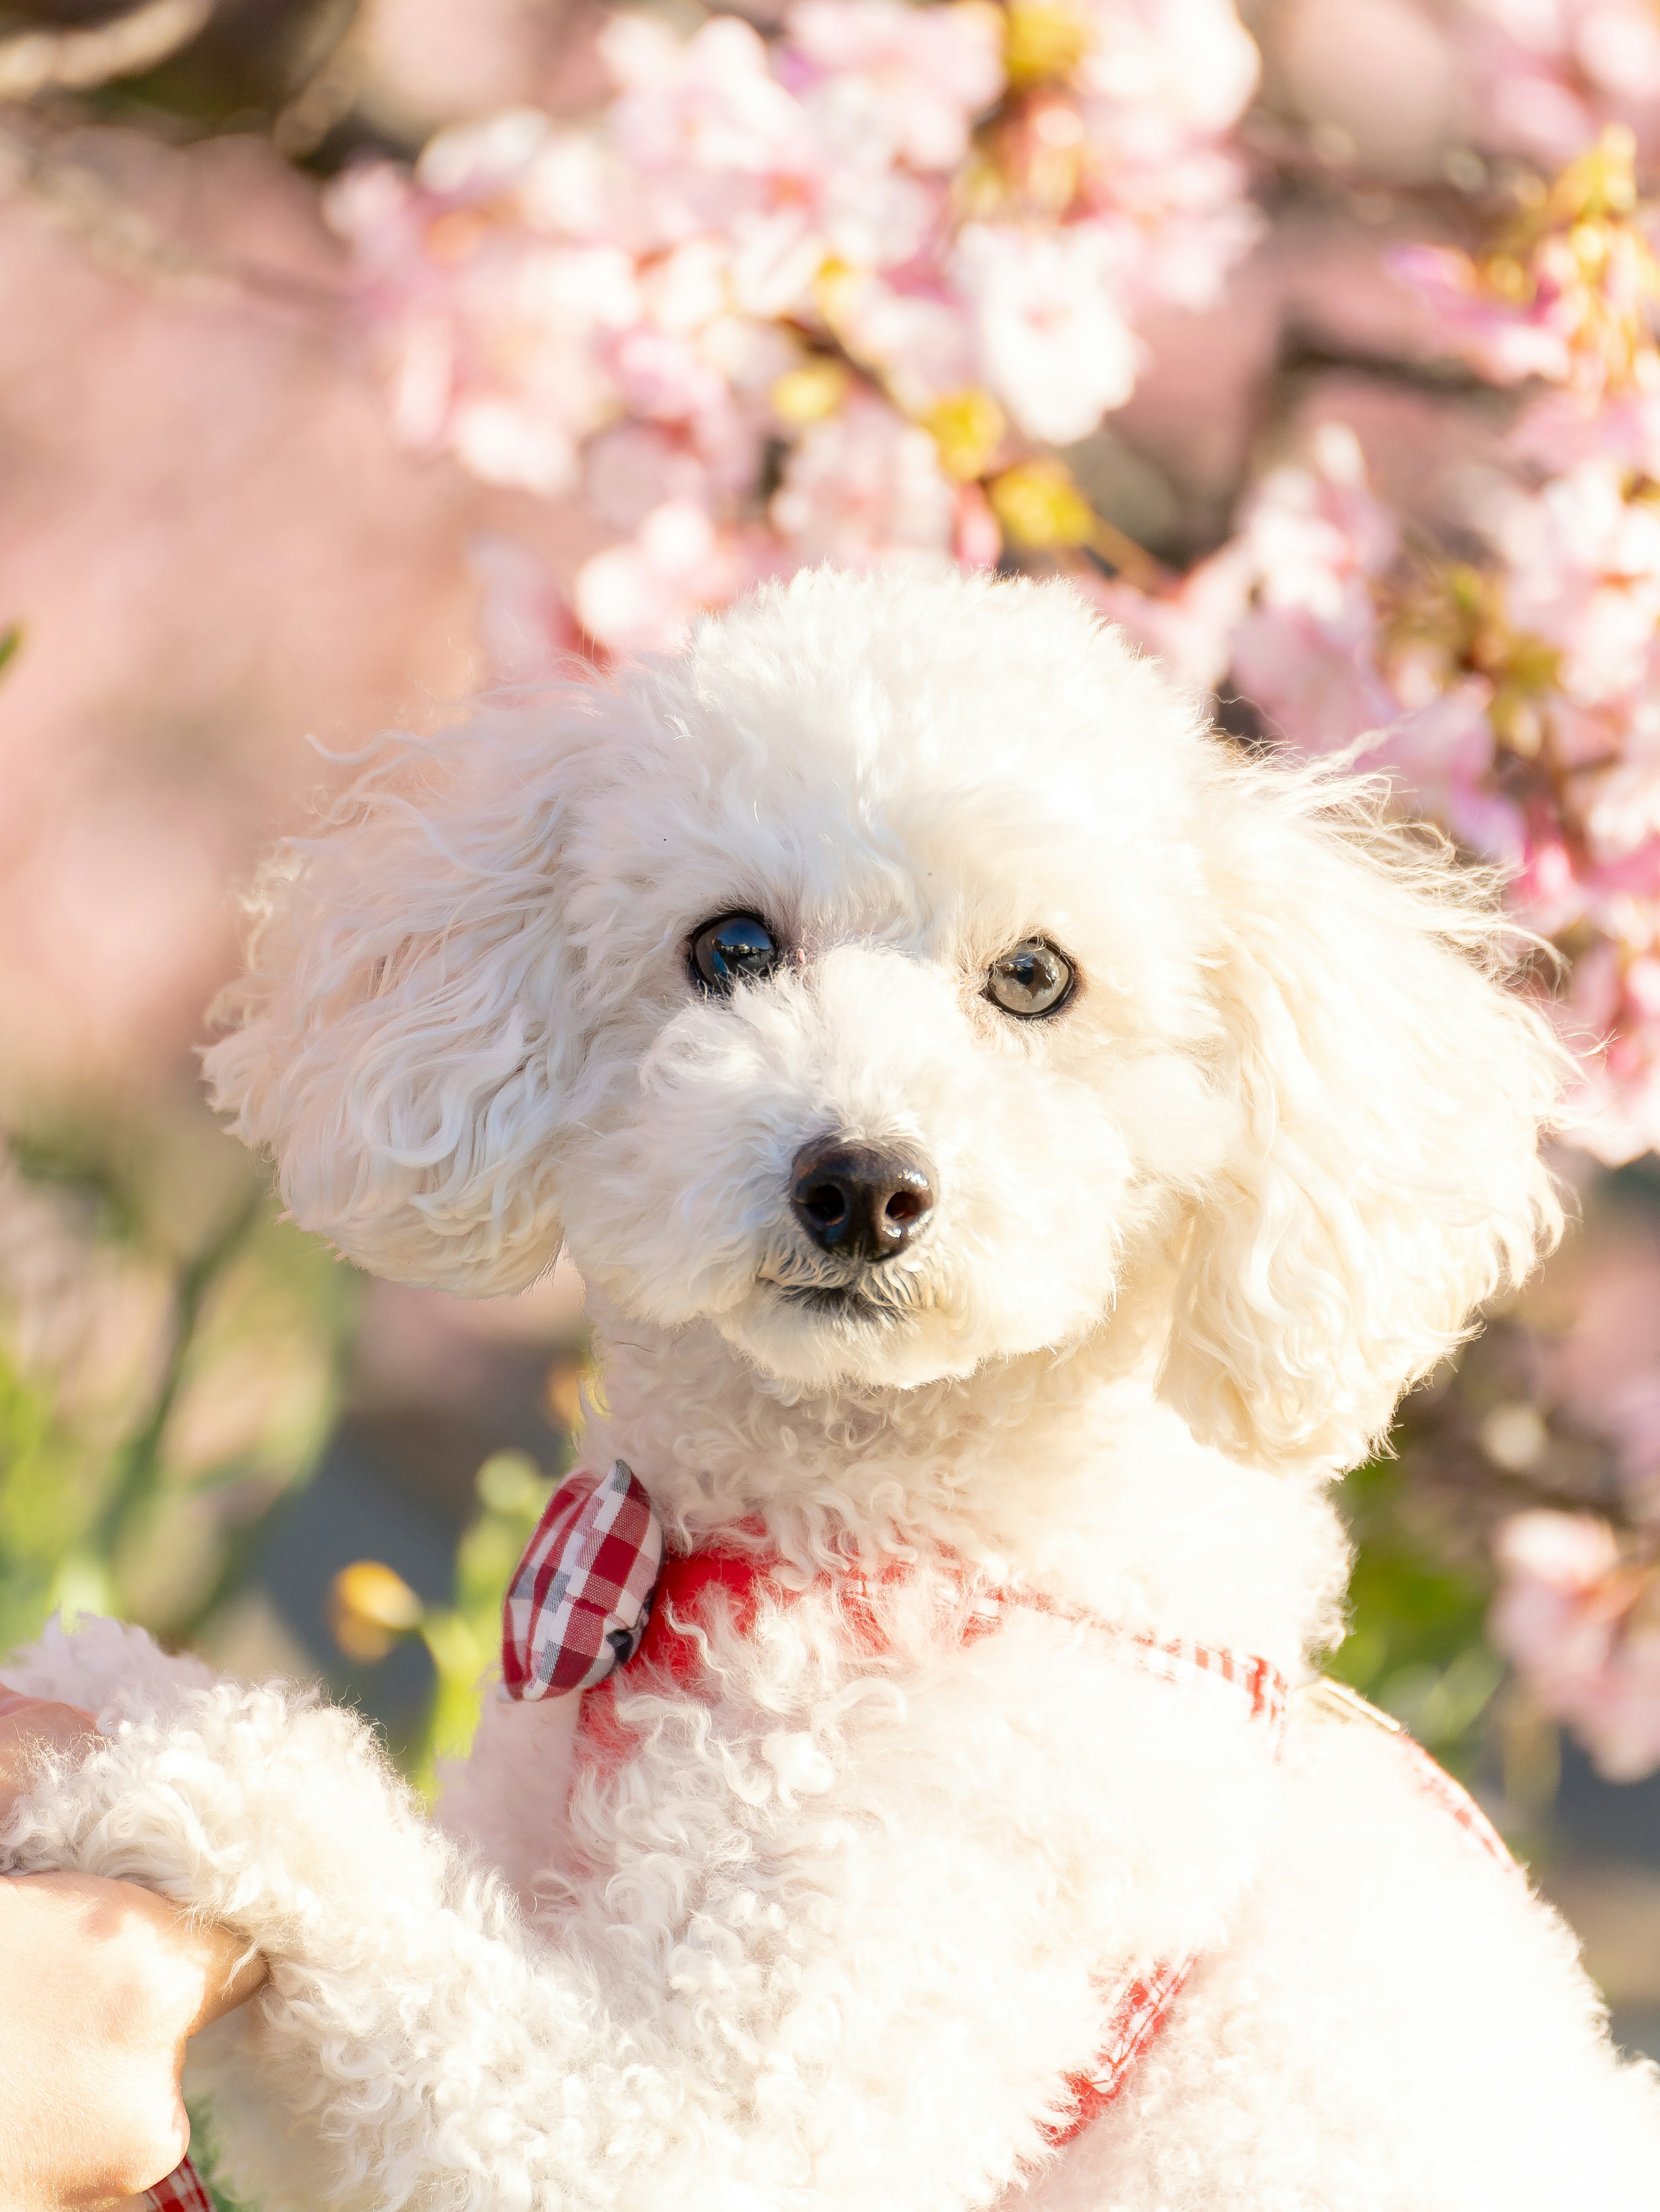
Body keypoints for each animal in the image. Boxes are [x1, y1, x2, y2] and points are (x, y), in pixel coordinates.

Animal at [3, 570, 1660, 2212]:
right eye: (732, 945)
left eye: (1035, 977)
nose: (860, 1185)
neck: (848, 1544)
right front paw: (99, 1670)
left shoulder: (742, 2106)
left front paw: (180, 1766)